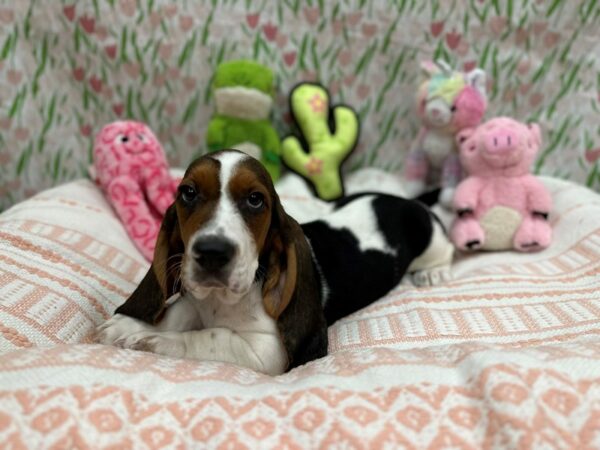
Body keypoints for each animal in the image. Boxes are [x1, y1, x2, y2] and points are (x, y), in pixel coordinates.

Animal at [97, 149, 454, 374]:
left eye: (256, 200)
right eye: (188, 193)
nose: (212, 252)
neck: (220, 301)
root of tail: (405, 200)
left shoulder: (265, 351)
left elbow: (210, 337)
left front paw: (151, 339)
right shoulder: (194, 301)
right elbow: (177, 315)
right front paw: (129, 326)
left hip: (430, 237)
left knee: (446, 248)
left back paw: (433, 273)